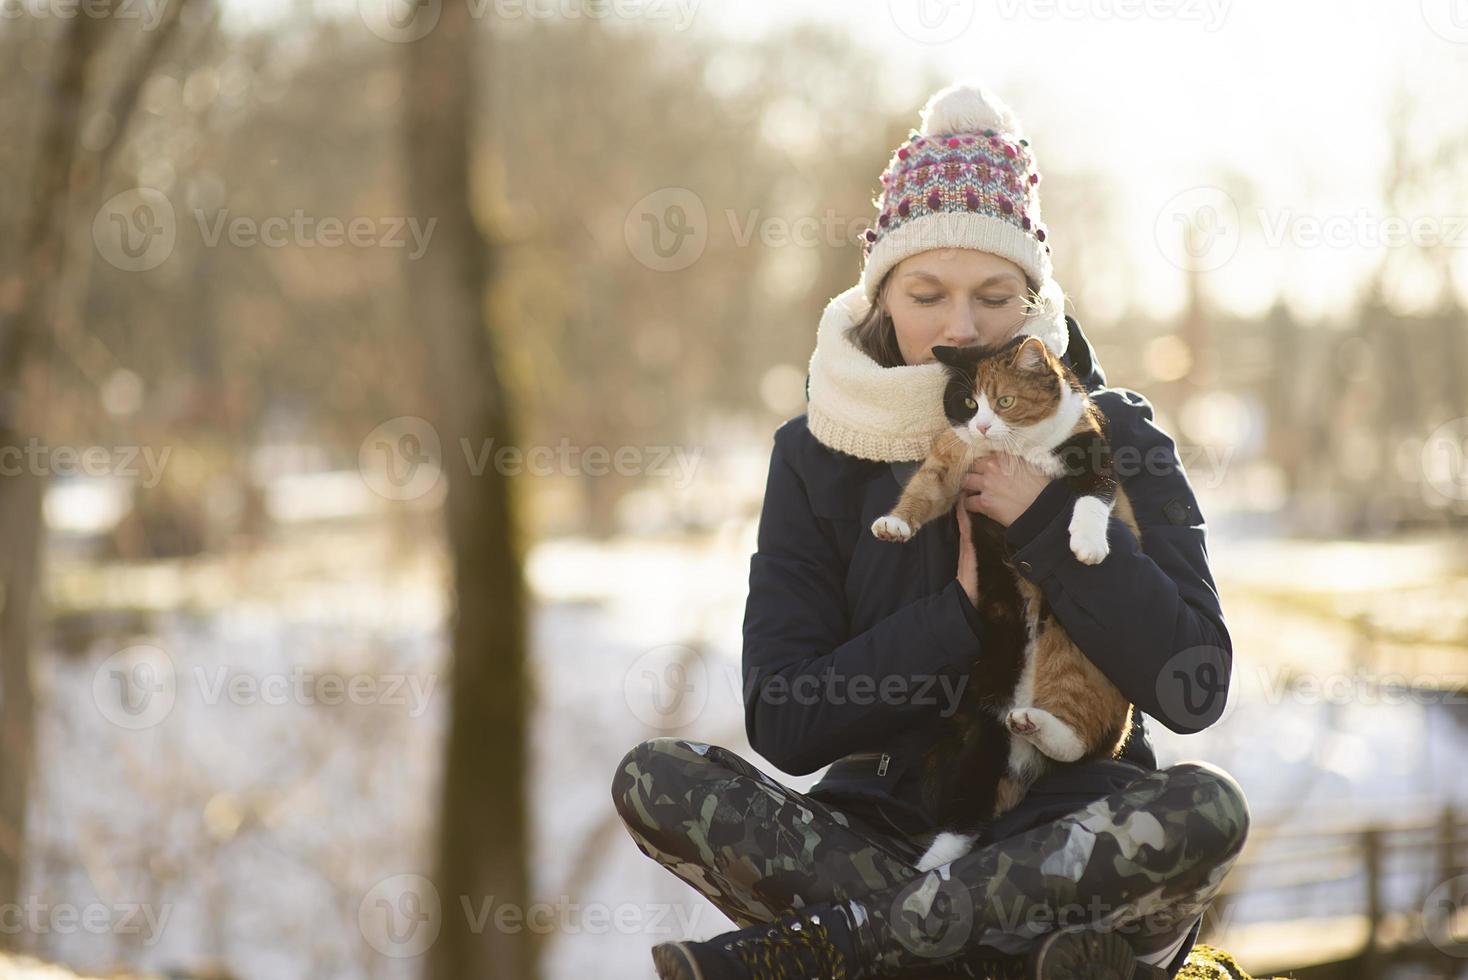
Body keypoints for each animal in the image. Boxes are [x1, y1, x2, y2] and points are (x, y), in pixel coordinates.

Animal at [869, 333, 1133, 868]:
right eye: (969, 403)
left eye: (1005, 401)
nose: (984, 424)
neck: (1019, 448)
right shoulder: (954, 457)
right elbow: (924, 489)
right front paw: (894, 525)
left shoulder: (1094, 453)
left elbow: (1092, 498)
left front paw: (1088, 545)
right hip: (982, 730)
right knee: (965, 815)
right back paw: (928, 868)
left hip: (1079, 664)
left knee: (1078, 745)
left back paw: (1041, 725)